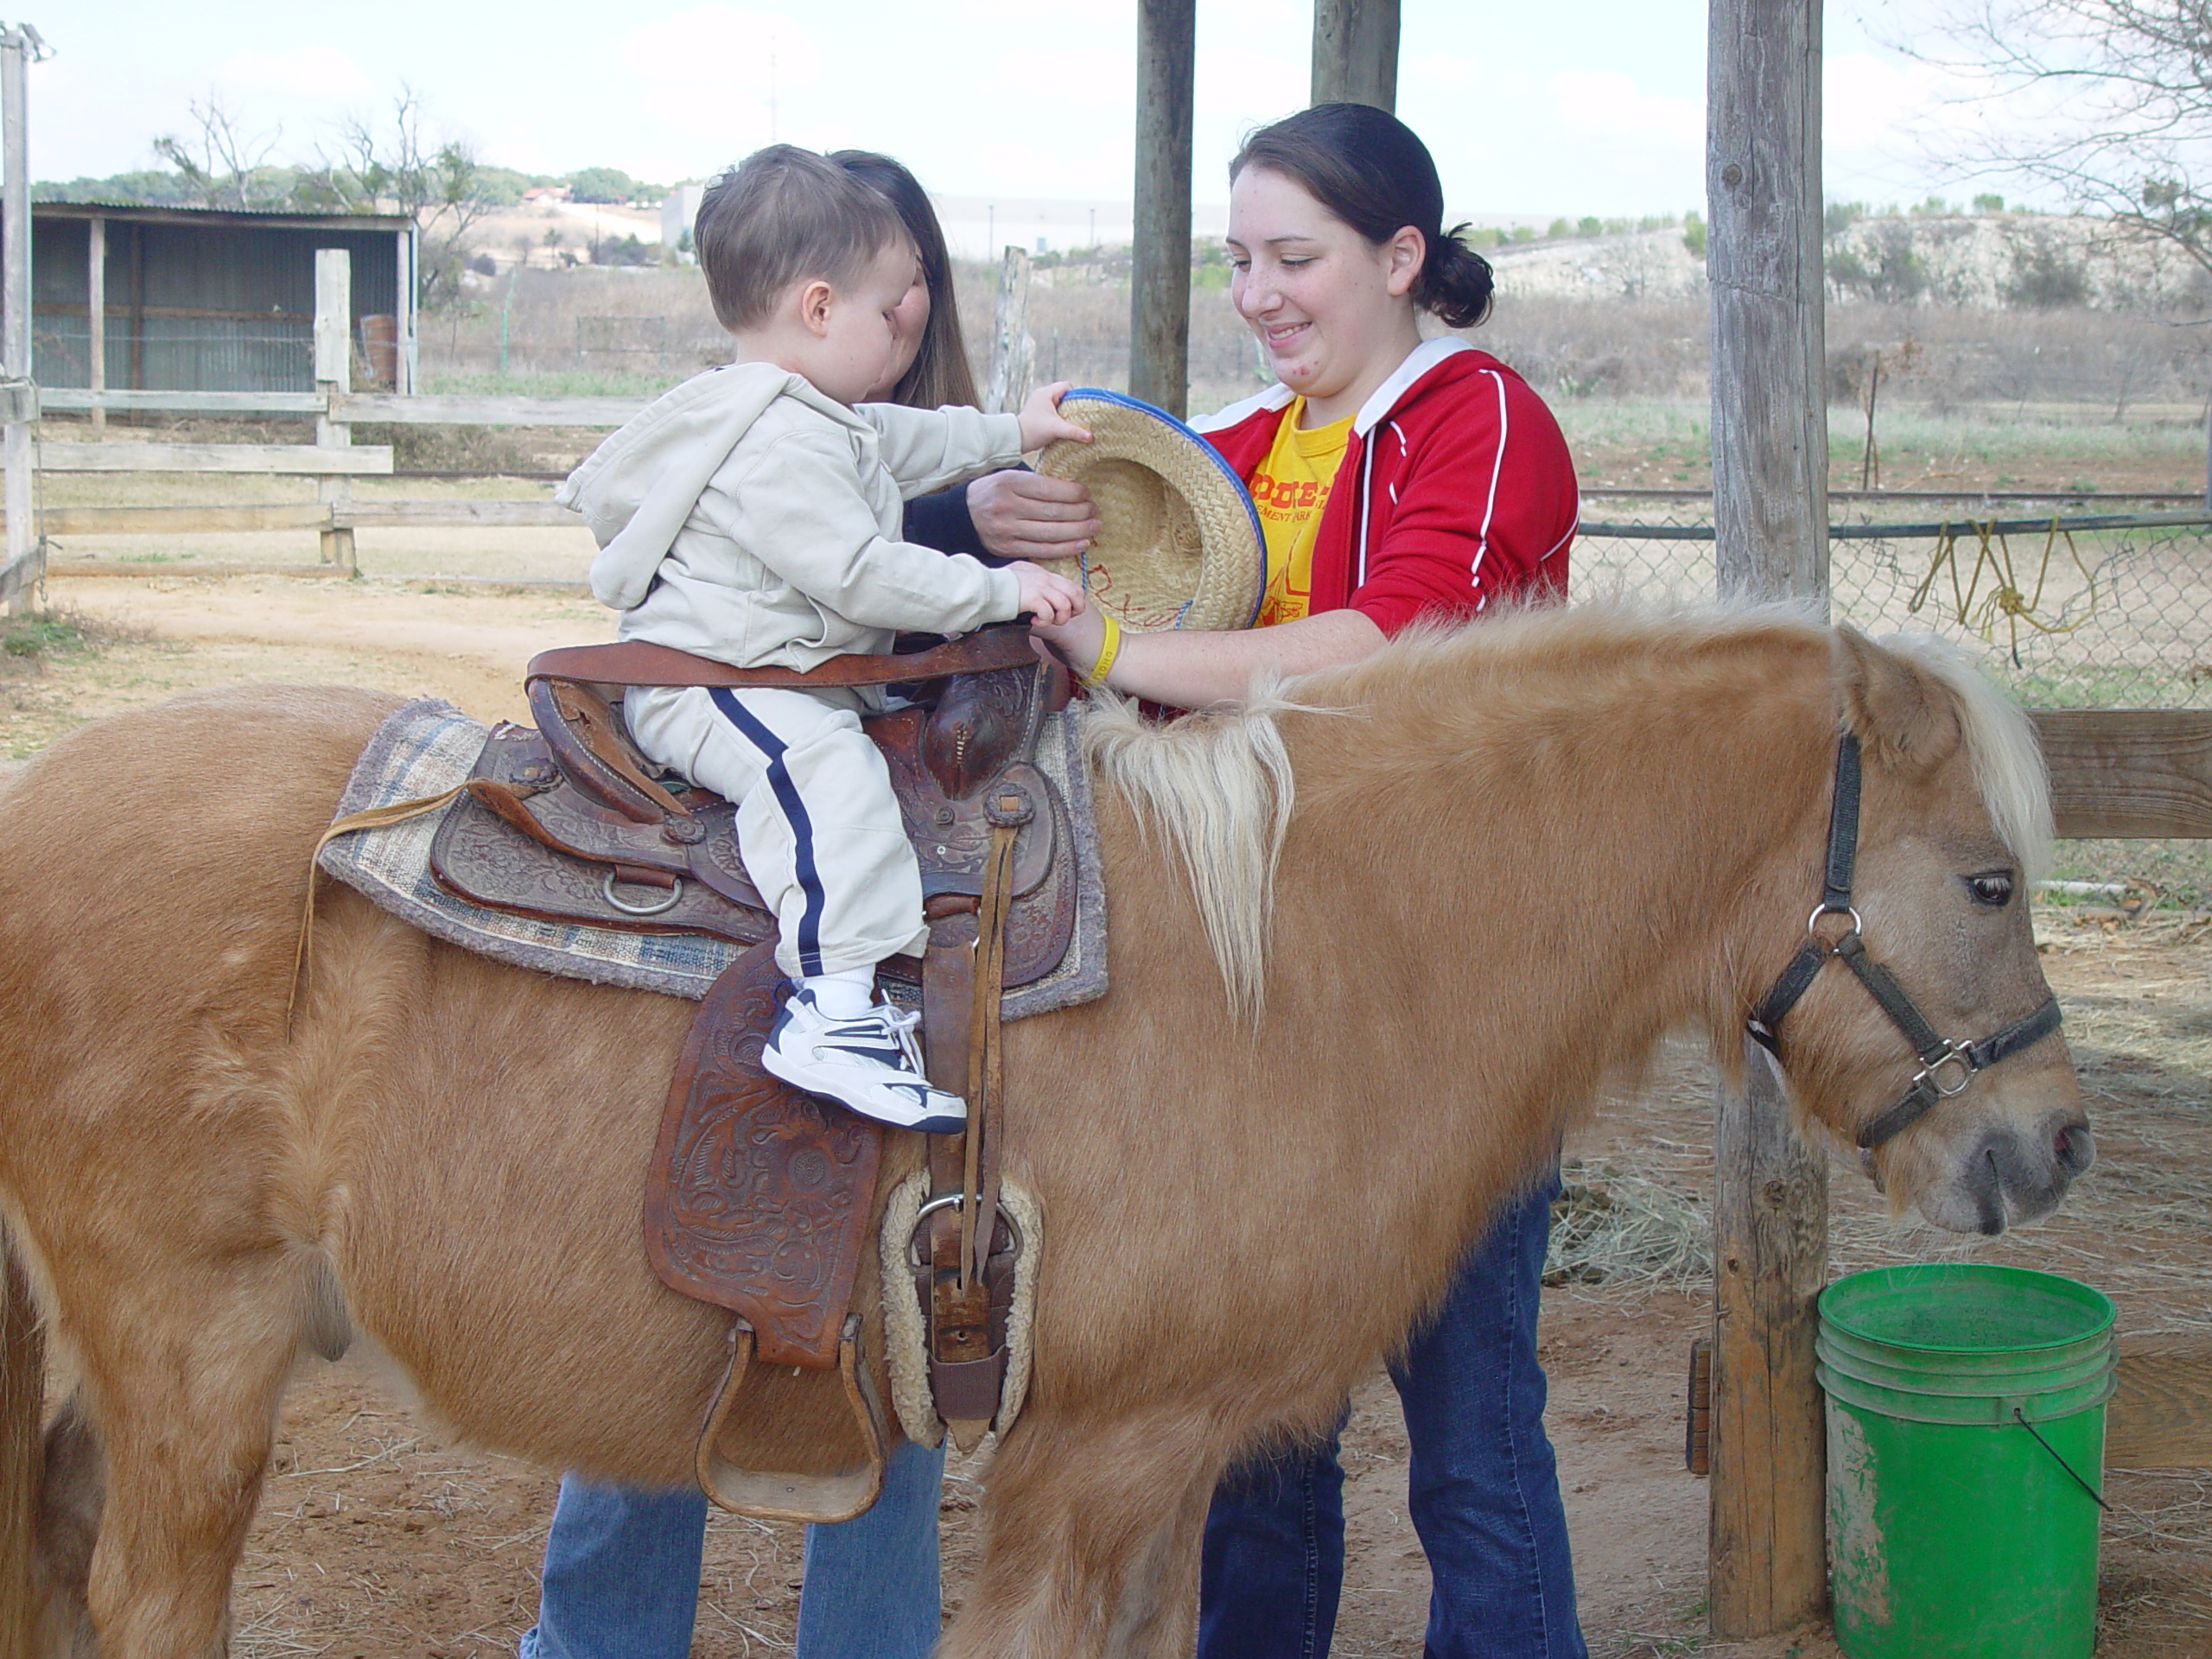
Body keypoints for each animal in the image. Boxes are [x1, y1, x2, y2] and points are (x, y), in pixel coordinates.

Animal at [0, 606, 2079, 1654]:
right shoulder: (1085, 1470)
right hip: (194, 1353)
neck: (1319, 949)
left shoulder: (1167, 1476)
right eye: (1985, 879)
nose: (2045, 1146)